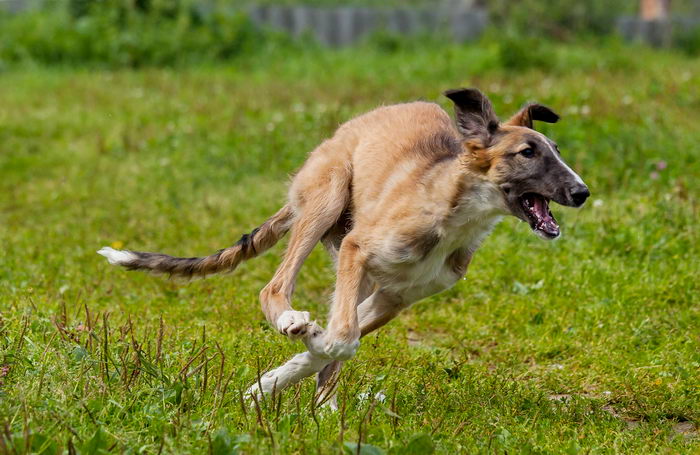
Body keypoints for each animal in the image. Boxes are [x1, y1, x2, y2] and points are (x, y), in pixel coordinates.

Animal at [100, 88, 592, 402]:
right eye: (527, 152)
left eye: (557, 149)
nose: (582, 193)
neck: (452, 214)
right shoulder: (359, 249)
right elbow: (340, 339)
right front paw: (303, 339)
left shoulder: (395, 297)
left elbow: (339, 344)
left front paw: (269, 383)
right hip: (329, 197)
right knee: (273, 287)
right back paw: (291, 322)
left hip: (356, 268)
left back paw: (322, 413)